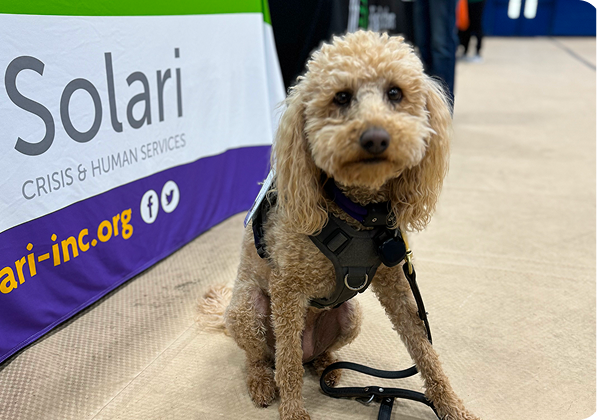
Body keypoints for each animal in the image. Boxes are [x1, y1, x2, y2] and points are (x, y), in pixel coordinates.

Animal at [200, 30, 478, 420]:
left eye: (395, 93)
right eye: (341, 97)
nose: (375, 136)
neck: (361, 212)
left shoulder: (395, 283)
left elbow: (425, 350)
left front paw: (450, 405)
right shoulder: (287, 290)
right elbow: (287, 364)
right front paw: (293, 412)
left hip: (350, 315)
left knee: (309, 357)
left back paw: (328, 368)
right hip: (247, 309)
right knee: (267, 358)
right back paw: (263, 383)